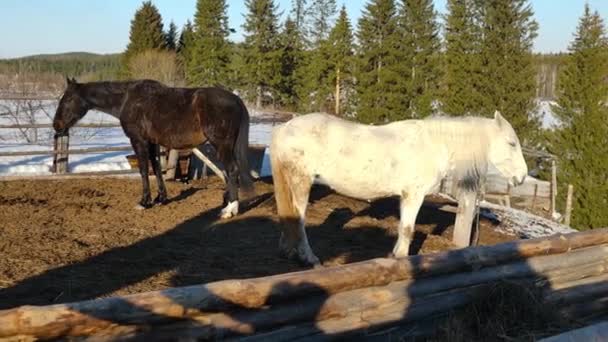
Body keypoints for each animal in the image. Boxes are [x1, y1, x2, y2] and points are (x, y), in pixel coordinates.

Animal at [51, 79, 252, 218]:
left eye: (68, 99)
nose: (56, 125)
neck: (127, 100)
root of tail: (236, 99)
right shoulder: (153, 142)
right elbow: (156, 169)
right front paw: (160, 198)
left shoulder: (138, 140)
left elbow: (143, 170)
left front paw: (144, 202)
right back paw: (226, 203)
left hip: (221, 145)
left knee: (232, 170)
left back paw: (230, 209)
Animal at [270, 111, 528, 266]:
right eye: (511, 143)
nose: (522, 176)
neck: (433, 144)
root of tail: (284, 128)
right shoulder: (414, 194)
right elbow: (407, 229)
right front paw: (401, 259)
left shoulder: (406, 196)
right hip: (302, 181)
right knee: (298, 219)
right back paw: (309, 258)